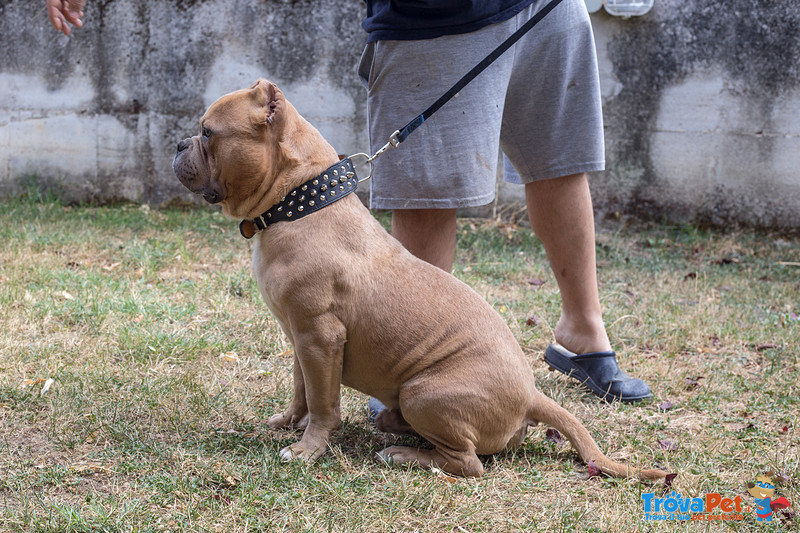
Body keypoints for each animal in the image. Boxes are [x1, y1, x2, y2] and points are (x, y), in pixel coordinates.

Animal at [173, 78, 668, 478]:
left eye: (207, 132)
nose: (178, 144)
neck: (299, 203)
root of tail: (532, 395)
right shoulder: (302, 338)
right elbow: (303, 390)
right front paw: (288, 422)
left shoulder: (320, 336)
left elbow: (324, 403)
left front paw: (308, 448)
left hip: (423, 392)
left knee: (468, 464)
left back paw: (404, 454)